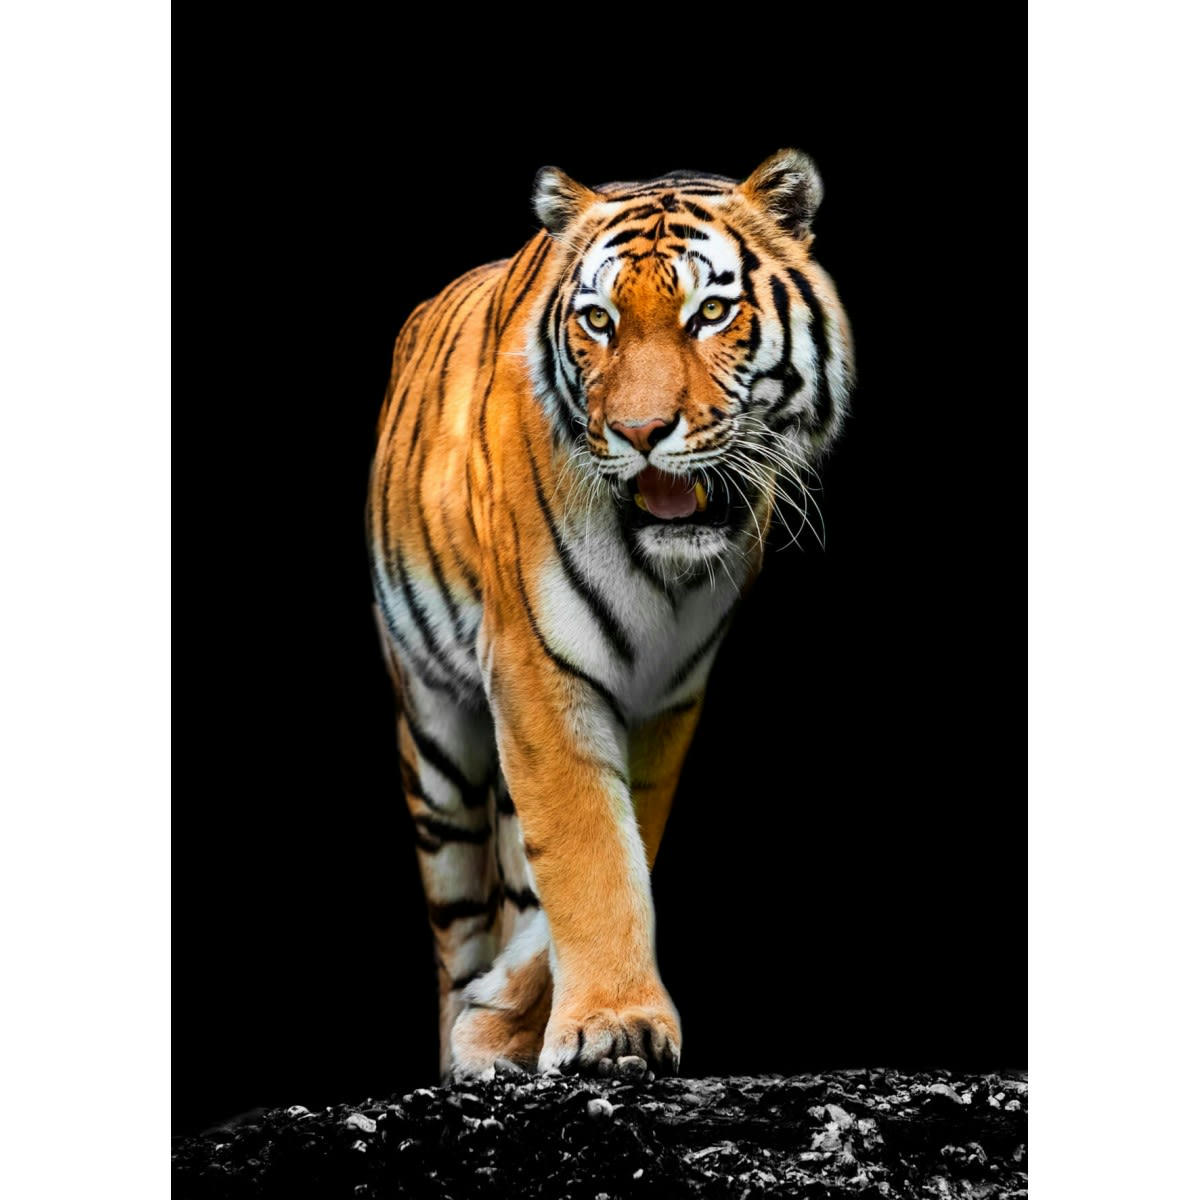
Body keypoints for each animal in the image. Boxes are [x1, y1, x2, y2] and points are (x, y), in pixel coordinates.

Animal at [366, 149, 854, 1081]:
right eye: (598, 320)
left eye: (711, 313)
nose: (639, 430)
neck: (664, 572)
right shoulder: (534, 666)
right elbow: (590, 848)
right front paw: (609, 1027)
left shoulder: (667, 696)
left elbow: (616, 850)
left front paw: (525, 1020)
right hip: (434, 742)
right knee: (457, 920)